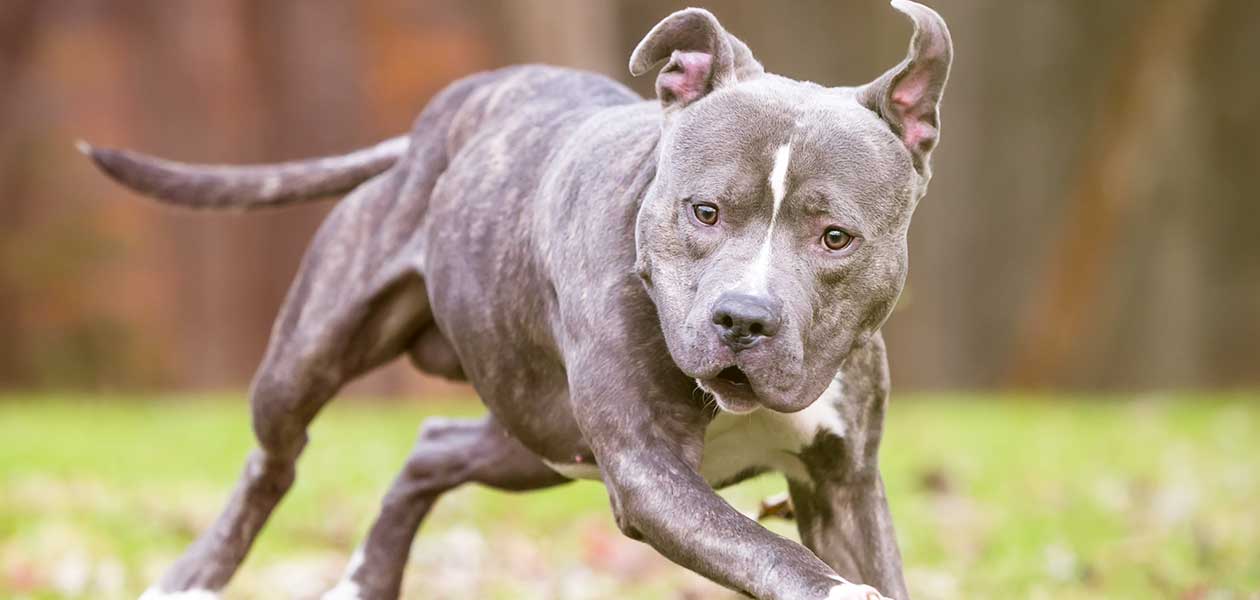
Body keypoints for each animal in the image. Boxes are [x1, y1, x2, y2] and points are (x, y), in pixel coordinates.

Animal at [83, 2, 947, 597]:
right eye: (704, 212)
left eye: (835, 237)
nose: (742, 317)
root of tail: (430, 126)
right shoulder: (648, 471)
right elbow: (777, 553)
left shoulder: (843, 486)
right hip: (310, 359)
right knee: (273, 458)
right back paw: (192, 577)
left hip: (541, 438)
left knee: (432, 447)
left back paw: (366, 580)